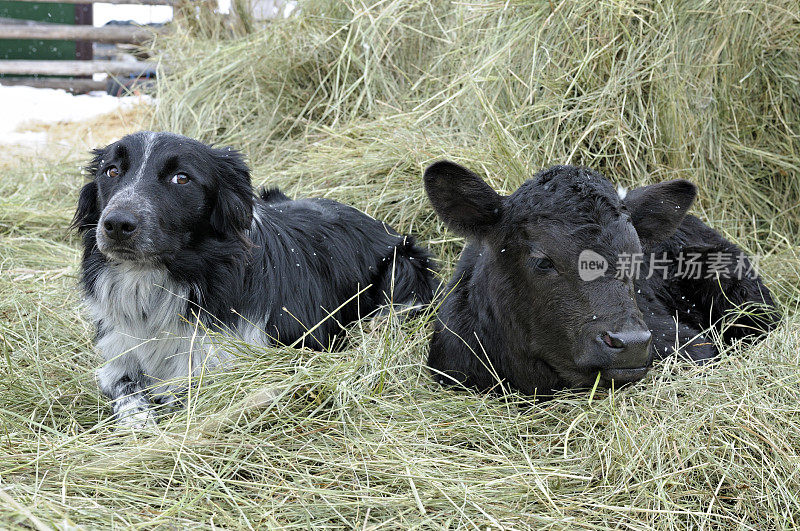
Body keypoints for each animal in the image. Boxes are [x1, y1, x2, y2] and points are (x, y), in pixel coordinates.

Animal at [73, 133, 438, 428]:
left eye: (181, 178)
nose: (116, 224)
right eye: (111, 171)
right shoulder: (118, 352)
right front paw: (139, 422)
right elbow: (125, 390)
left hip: (403, 269)